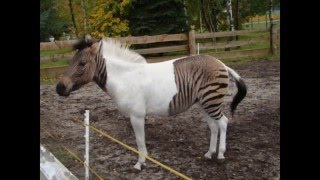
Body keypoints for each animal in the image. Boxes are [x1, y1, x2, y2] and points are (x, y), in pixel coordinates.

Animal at [57, 34, 248, 170]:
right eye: (71, 61)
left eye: (82, 63)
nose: (59, 88)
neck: (125, 78)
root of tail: (221, 63)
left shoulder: (136, 116)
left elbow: (139, 140)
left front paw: (140, 163)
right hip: (204, 103)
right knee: (214, 126)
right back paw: (209, 153)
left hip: (211, 100)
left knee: (223, 122)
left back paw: (221, 155)